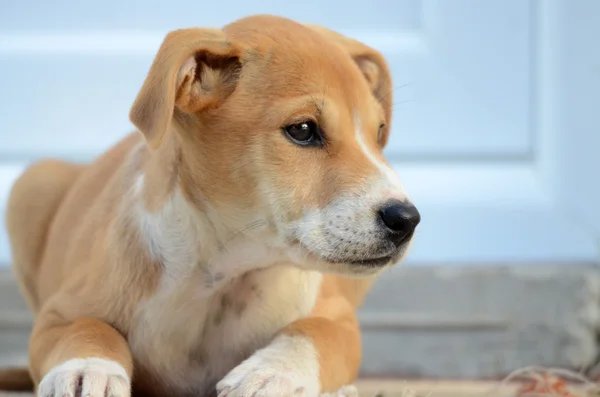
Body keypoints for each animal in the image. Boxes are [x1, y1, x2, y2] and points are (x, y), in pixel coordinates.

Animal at [2, 13, 420, 396]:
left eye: (379, 132)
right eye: (302, 130)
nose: (407, 219)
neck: (225, 271)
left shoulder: (339, 318)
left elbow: (312, 333)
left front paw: (271, 374)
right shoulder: (59, 313)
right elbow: (88, 328)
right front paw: (88, 368)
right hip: (32, 182)